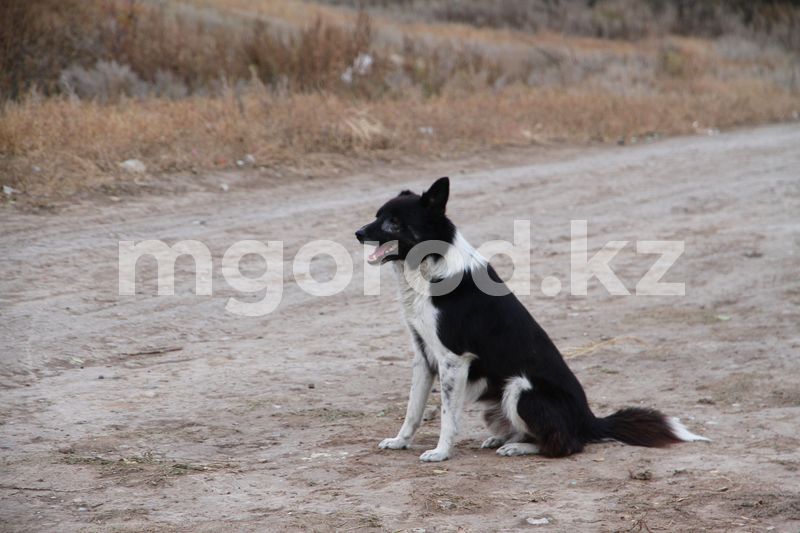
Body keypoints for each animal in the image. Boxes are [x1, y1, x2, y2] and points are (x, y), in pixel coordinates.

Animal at [356, 177, 708, 460]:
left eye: (393, 222)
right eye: (378, 215)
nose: (357, 233)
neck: (431, 262)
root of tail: (589, 419)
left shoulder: (453, 360)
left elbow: (447, 415)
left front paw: (441, 452)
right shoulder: (423, 356)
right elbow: (412, 409)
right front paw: (400, 441)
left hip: (521, 387)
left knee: (565, 445)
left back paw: (519, 447)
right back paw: (504, 440)